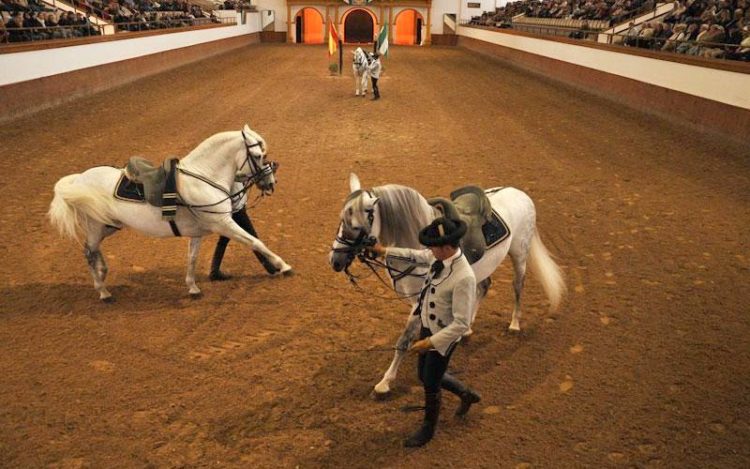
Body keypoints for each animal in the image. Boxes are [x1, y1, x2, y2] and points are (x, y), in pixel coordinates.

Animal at [328, 173, 564, 394]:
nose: (335, 260)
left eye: (356, 226)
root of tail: (520, 193)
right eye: (341, 220)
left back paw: (514, 324)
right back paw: (466, 329)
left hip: (519, 254)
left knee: (517, 285)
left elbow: (404, 341)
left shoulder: (418, 302)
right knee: (484, 286)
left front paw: (385, 382)